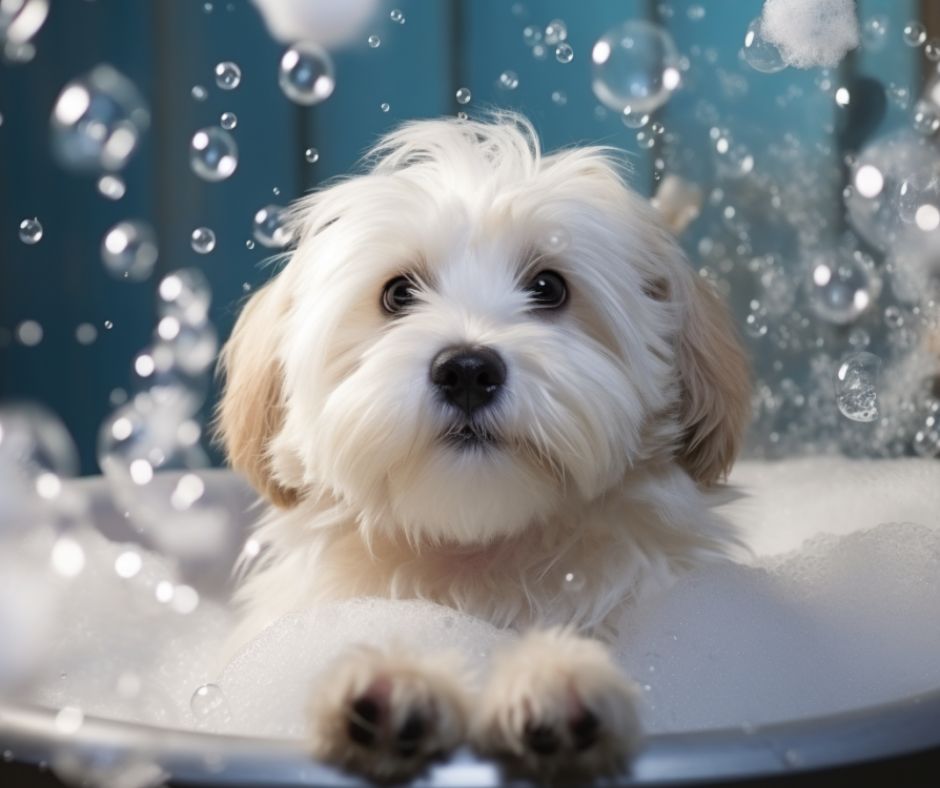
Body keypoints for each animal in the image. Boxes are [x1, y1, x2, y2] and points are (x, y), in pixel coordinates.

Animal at [215, 112, 748, 780]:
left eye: (549, 287)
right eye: (398, 294)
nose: (467, 370)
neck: (478, 555)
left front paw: (553, 680)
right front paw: (397, 683)